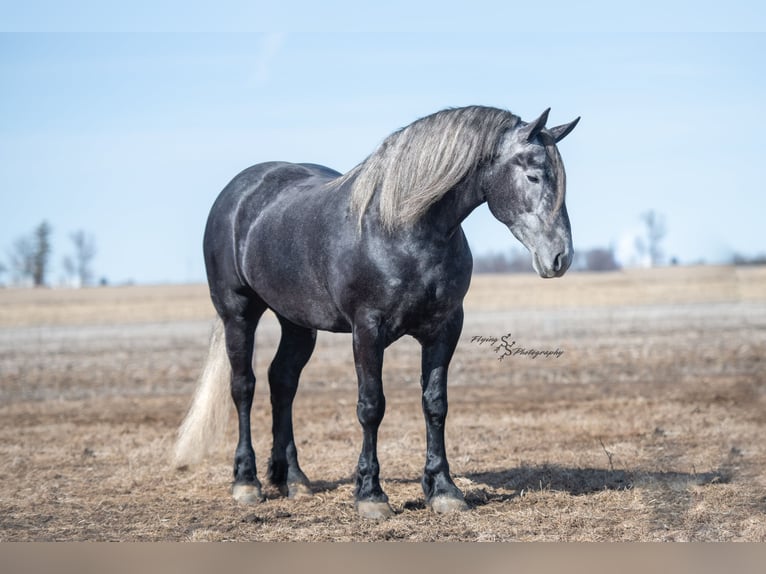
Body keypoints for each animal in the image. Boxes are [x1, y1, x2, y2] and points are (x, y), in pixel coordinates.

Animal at [174, 105, 579, 519]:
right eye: (533, 175)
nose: (559, 257)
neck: (403, 230)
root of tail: (238, 194)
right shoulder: (367, 330)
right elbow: (372, 406)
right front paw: (370, 494)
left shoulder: (445, 328)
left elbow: (435, 404)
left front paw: (443, 489)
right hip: (238, 314)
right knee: (244, 387)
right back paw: (247, 482)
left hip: (298, 323)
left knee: (282, 382)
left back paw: (293, 480)